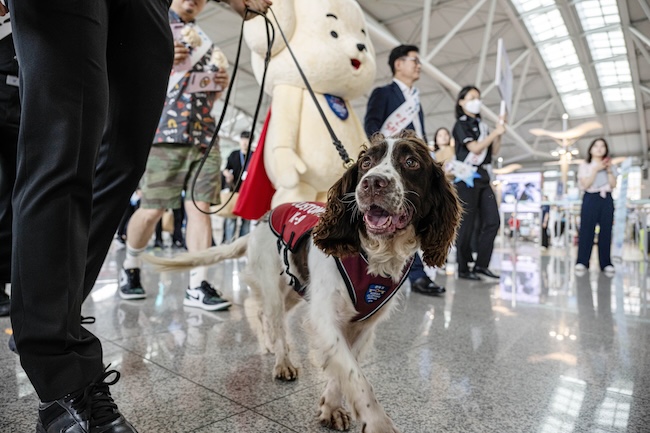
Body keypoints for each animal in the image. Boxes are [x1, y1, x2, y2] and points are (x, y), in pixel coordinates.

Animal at [147, 132, 460, 432]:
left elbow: (345, 368)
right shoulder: (325, 316)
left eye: (411, 162)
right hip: (275, 285)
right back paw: (283, 361)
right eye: (366, 163)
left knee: (263, 312)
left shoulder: (364, 324)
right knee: (270, 315)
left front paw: (331, 408)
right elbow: (355, 376)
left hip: (296, 290)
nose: (372, 183)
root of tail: (258, 224)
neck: (372, 255)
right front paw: (377, 423)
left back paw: (269, 344)